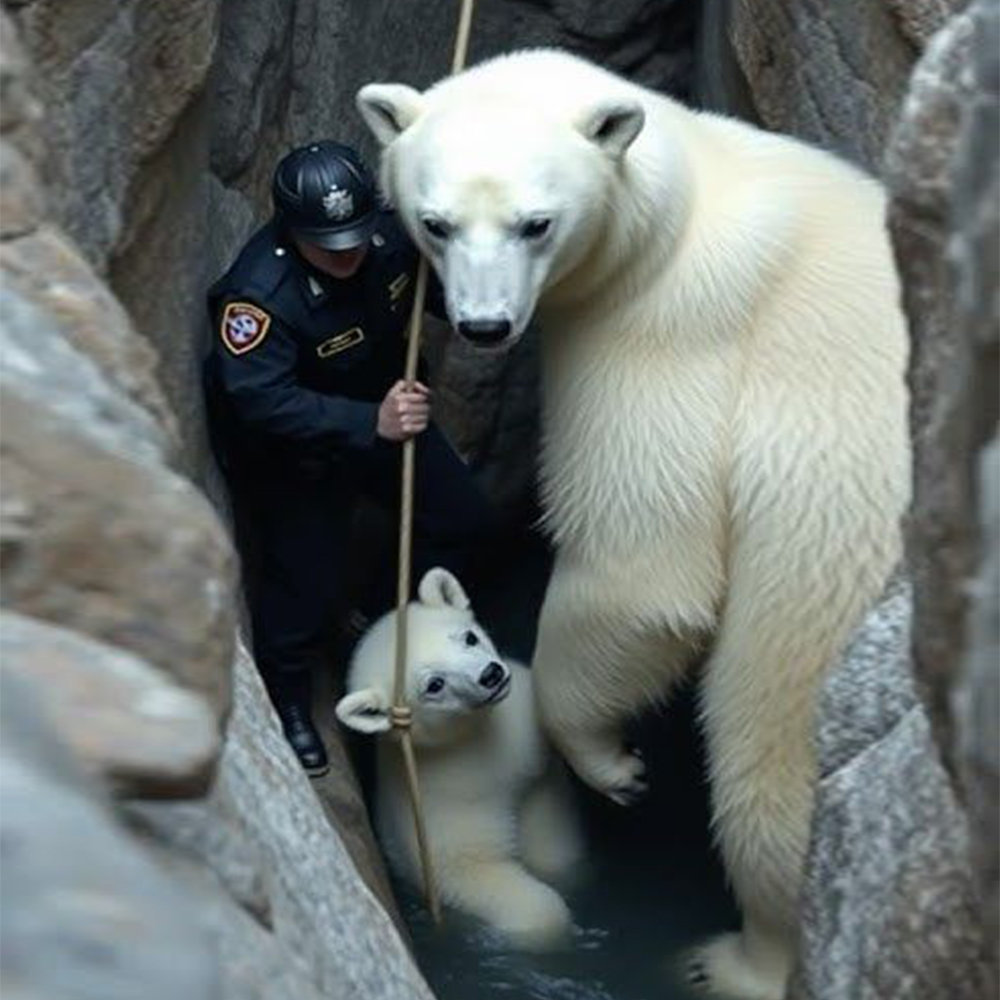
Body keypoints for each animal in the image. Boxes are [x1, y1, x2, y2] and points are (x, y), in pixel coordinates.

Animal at [335, 567, 583, 950]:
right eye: (434, 684)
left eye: (468, 637)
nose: (491, 675)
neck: (466, 738)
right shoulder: (442, 795)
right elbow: (469, 867)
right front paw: (546, 923)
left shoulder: (526, 745)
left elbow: (553, 839)